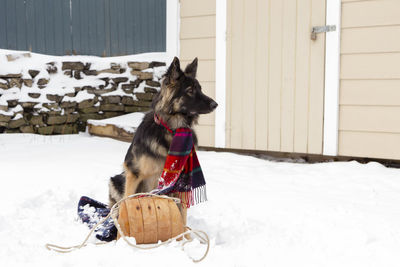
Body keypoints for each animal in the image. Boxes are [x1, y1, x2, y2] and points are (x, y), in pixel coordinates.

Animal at [108, 58, 217, 224]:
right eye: (190, 90)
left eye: (200, 89)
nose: (215, 104)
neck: (172, 129)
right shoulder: (134, 174)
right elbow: (127, 203)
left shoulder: (179, 185)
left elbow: (182, 216)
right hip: (116, 180)